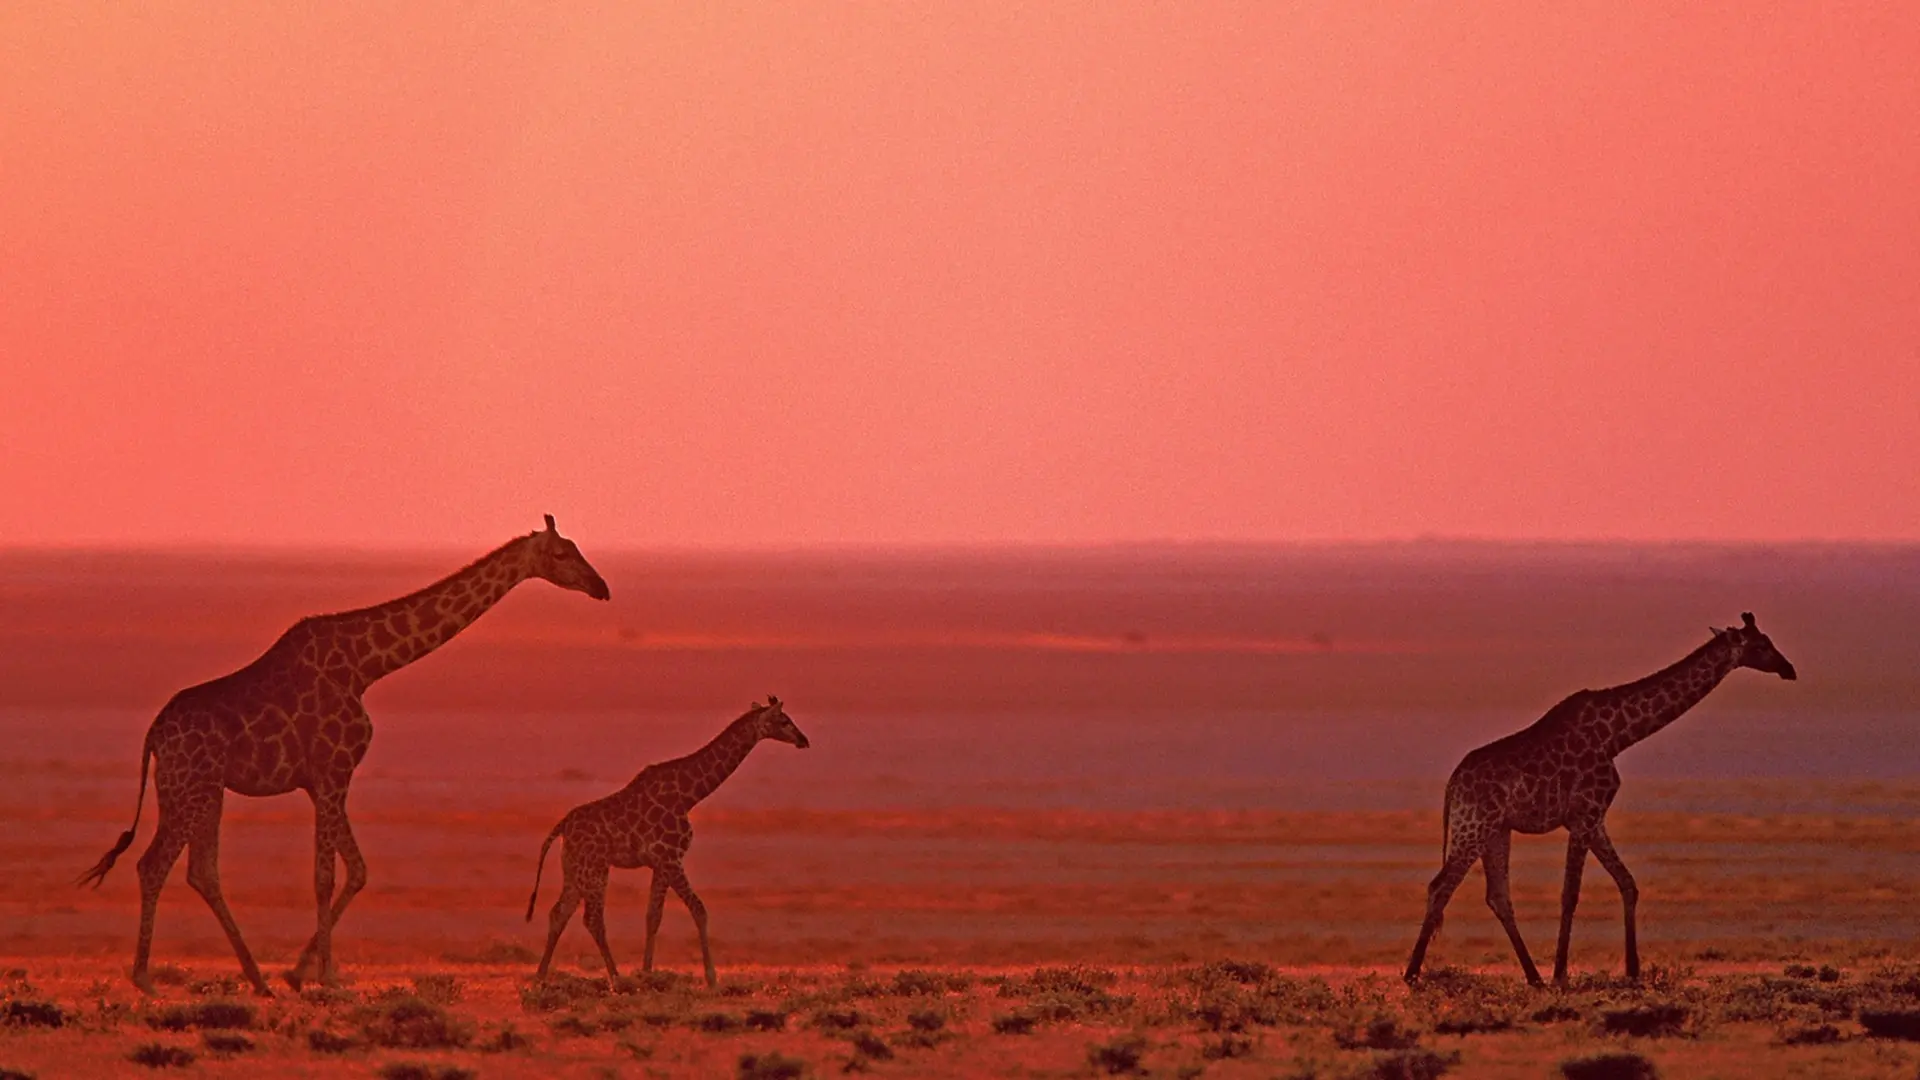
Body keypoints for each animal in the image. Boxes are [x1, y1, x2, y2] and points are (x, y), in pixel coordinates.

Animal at [77, 515, 611, 996]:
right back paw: (145, 978)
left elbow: (353, 871)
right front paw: (326, 977)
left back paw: (257, 980)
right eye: (561, 554)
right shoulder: (334, 771)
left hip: (202, 790)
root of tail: (153, 734)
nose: (601, 586)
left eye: (577, 548)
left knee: (201, 872)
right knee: (154, 865)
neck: (364, 667)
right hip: (188, 786)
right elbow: (326, 875)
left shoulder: (322, 782)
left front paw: (298, 974)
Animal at [526, 696, 810, 989]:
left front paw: (647, 974)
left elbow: (653, 916)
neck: (688, 796)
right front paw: (711, 978)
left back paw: (540, 979)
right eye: (783, 720)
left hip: (575, 869)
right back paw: (616, 980)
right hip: (595, 869)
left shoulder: (660, 863)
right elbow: (699, 909)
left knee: (559, 912)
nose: (804, 740)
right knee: (591, 919)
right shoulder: (671, 857)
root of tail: (561, 826)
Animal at [1403, 612, 1797, 987]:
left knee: (1498, 896)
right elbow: (1570, 895)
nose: (1789, 669)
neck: (1617, 736)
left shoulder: (1595, 820)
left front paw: (1633, 970)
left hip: (1496, 830)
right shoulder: (1584, 815)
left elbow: (1628, 883)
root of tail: (1453, 783)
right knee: (1441, 886)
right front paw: (1561, 973)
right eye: (1761, 645)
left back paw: (1533, 977)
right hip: (1473, 825)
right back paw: (1412, 974)